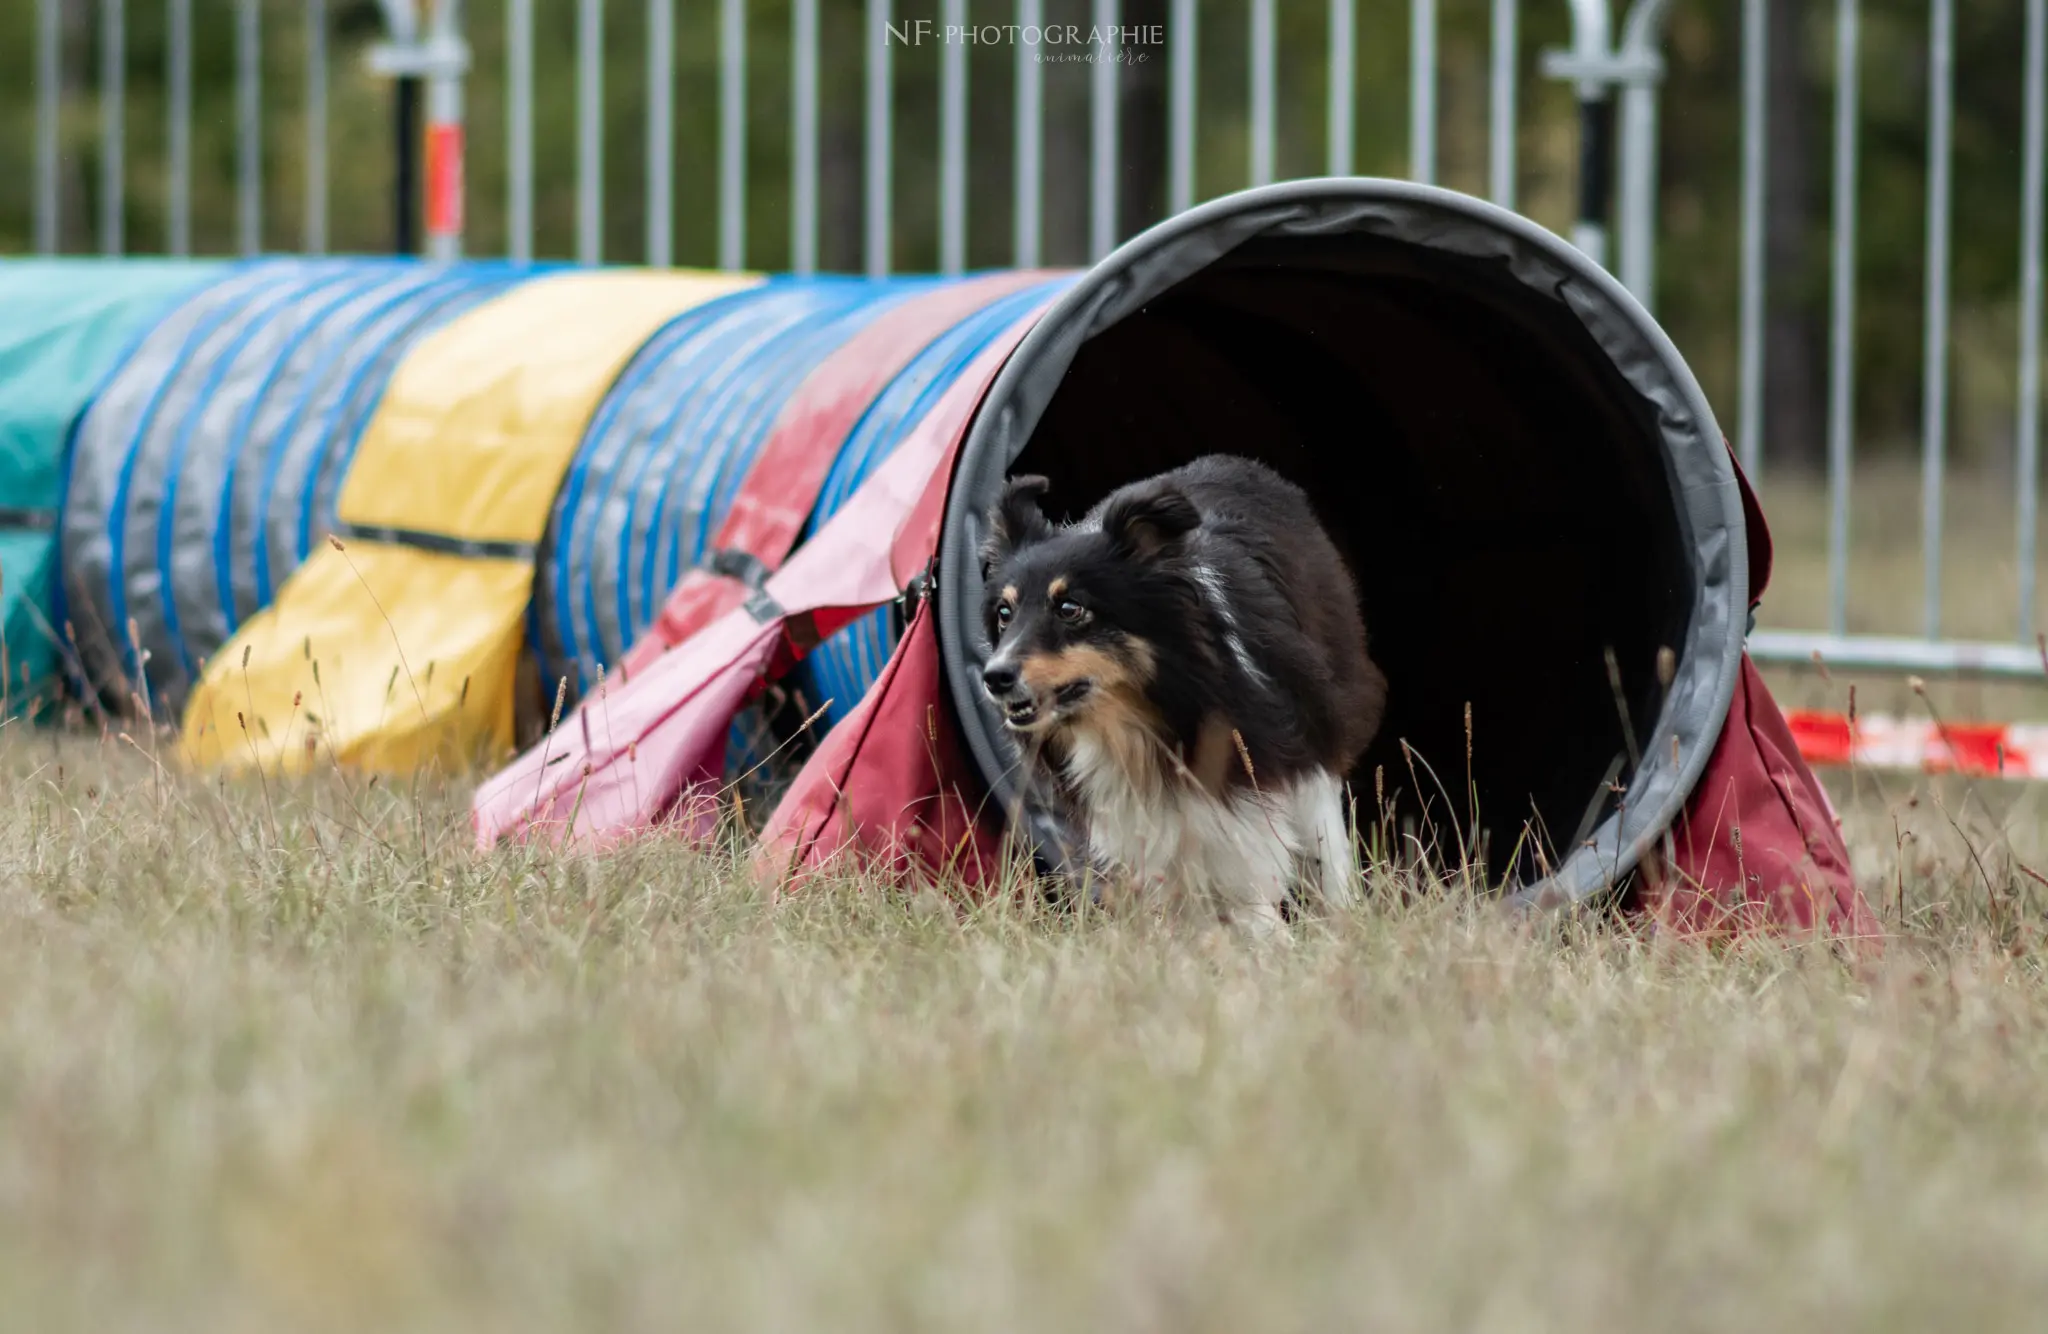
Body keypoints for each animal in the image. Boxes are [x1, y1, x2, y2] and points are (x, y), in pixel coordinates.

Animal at [974, 454, 1392, 934]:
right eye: (1004, 613)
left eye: (1069, 608)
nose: (994, 677)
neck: (1136, 722)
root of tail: (1243, 463)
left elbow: (1249, 875)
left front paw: (1271, 937)